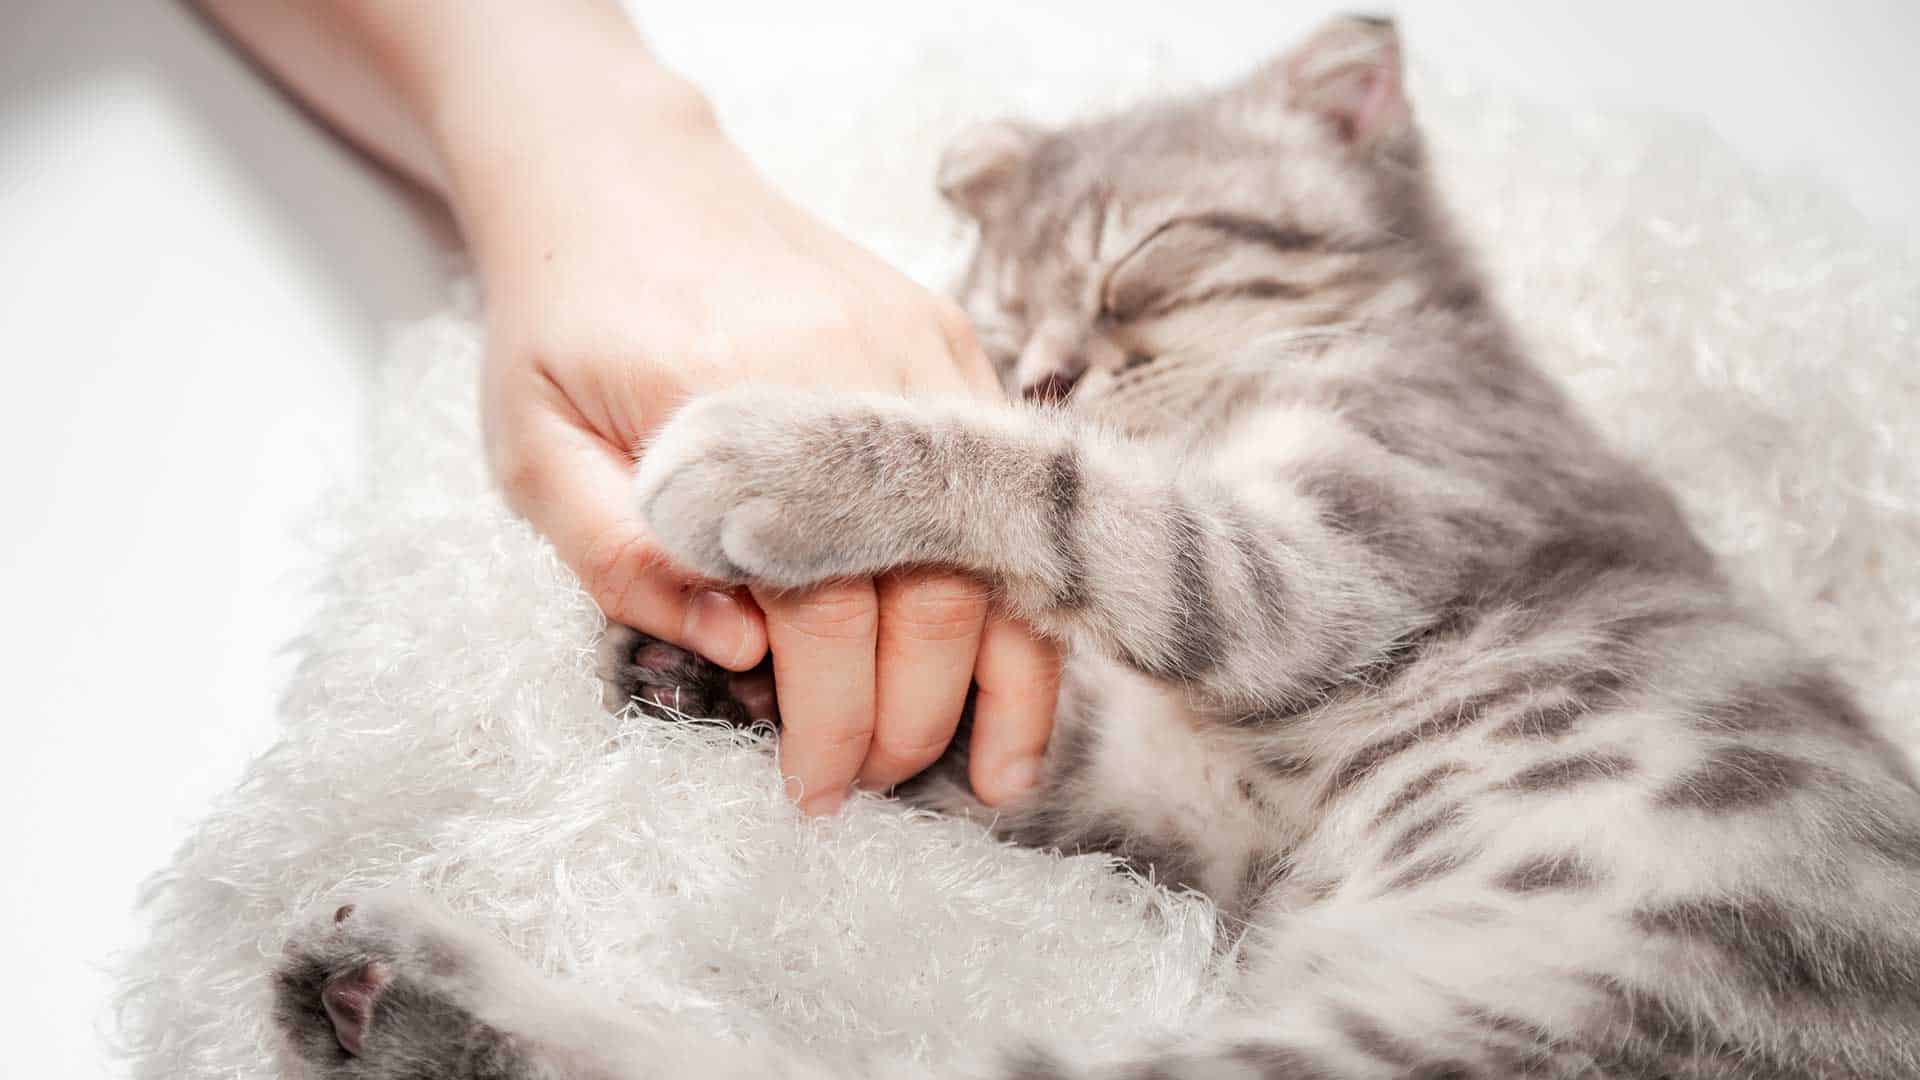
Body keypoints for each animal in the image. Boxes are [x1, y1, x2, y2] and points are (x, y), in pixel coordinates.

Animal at [266, 16, 1920, 1076]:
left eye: (1146, 259)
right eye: (1003, 317)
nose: (1051, 368)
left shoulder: (1319, 564)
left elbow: (1075, 492)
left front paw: (778, 458)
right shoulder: (1195, 790)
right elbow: (1030, 727)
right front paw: (717, 669)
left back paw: (408, 986)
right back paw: (376, 1002)